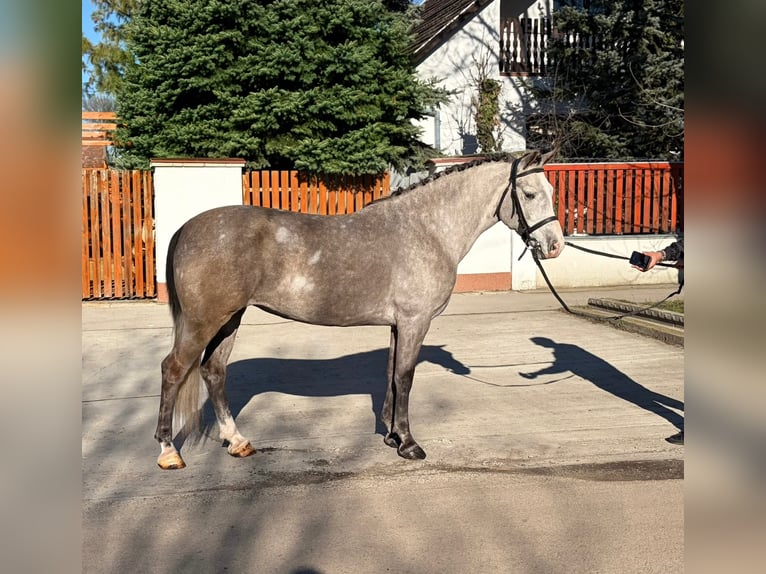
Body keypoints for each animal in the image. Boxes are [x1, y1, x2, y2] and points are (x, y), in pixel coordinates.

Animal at [156, 150, 564, 469]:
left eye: (551, 191)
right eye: (529, 193)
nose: (555, 245)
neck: (426, 229)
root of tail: (186, 228)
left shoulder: (399, 325)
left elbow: (391, 374)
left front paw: (391, 436)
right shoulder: (415, 322)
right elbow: (405, 378)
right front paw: (409, 444)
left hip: (230, 320)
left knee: (214, 371)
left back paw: (237, 441)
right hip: (205, 321)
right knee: (173, 369)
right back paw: (168, 451)